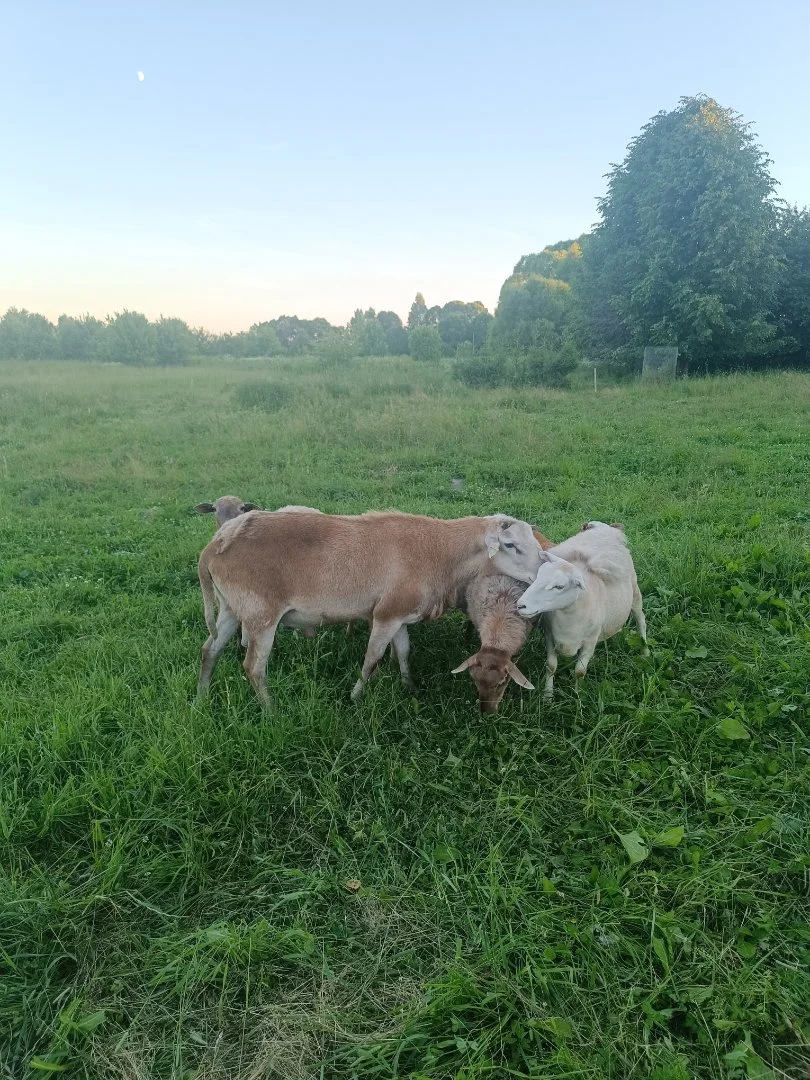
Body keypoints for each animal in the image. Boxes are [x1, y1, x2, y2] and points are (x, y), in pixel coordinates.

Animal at [196, 510, 543, 709]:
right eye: (511, 545)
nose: (542, 570)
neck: (436, 552)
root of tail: (216, 544)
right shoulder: (385, 615)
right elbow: (372, 660)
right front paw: (355, 697)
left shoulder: (400, 614)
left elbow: (403, 651)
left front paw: (409, 687)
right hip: (261, 614)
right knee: (253, 667)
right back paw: (270, 711)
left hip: (232, 608)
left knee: (210, 649)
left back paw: (202, 697)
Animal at [516, 520, 648, 696]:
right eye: (538, 576)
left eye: (559, 586)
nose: (520, 605)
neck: (568, 617)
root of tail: (606, 528)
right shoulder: (549, 636)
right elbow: (551, 666)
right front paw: (548, 696)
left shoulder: (589, 643)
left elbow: (579, 672)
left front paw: (577, 697)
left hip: (635, 591)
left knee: (641, 620)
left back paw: (646, 652)